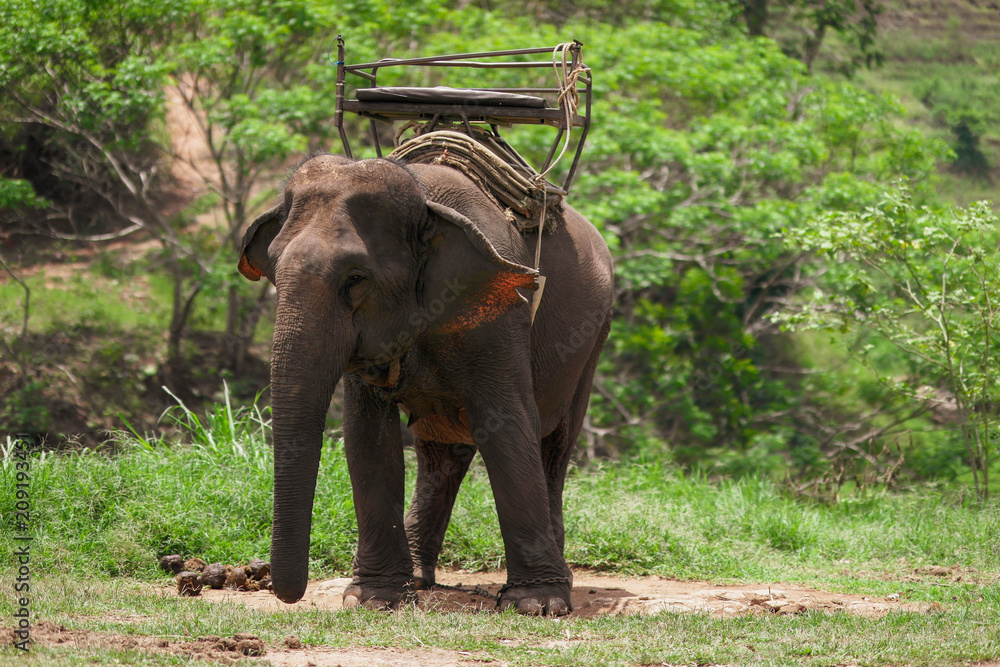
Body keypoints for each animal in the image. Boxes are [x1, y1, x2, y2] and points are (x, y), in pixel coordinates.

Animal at [237, 153, 613, 616]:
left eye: (355, 280)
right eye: (273, 269)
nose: (286, 594)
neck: (423, 196)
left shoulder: (499, 309)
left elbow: (506, 422)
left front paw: (536, 605)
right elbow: (367, 437)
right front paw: (373, 599)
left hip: (595, 335)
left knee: (555, 444)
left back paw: (559, 580)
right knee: (440, 454)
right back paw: (419, 577)